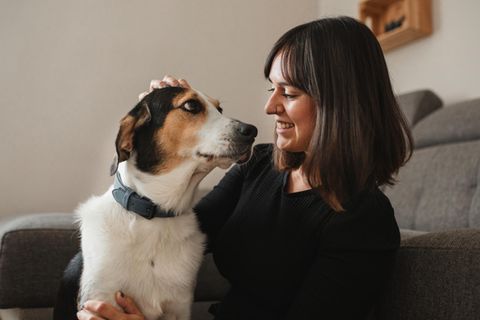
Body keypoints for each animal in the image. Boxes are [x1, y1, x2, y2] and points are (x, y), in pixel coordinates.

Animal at [54, 85, 256, 320]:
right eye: (191, 105)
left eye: (219, 108)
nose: (252, 131)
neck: (156, 214)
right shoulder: (99, 301)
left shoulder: (179, 308)